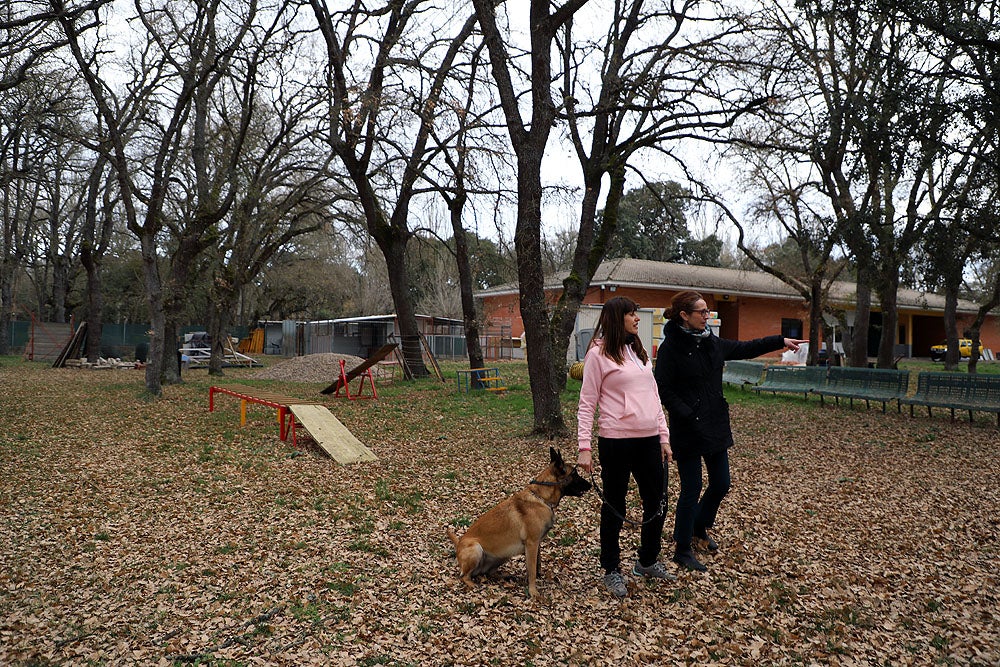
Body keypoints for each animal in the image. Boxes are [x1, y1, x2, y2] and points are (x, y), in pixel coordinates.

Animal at [444, 446, 584, 596]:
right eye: (575, 474)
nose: (589, 485)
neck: (541, 498)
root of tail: (458, 544)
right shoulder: (532, 544)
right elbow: (532, 570)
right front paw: (533, 591)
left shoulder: (537, 543)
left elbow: (536, 565)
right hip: (476, 549)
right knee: (464, 576)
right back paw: (473, 585)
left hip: (504, 554)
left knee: (488, 573)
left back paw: (506, 576)